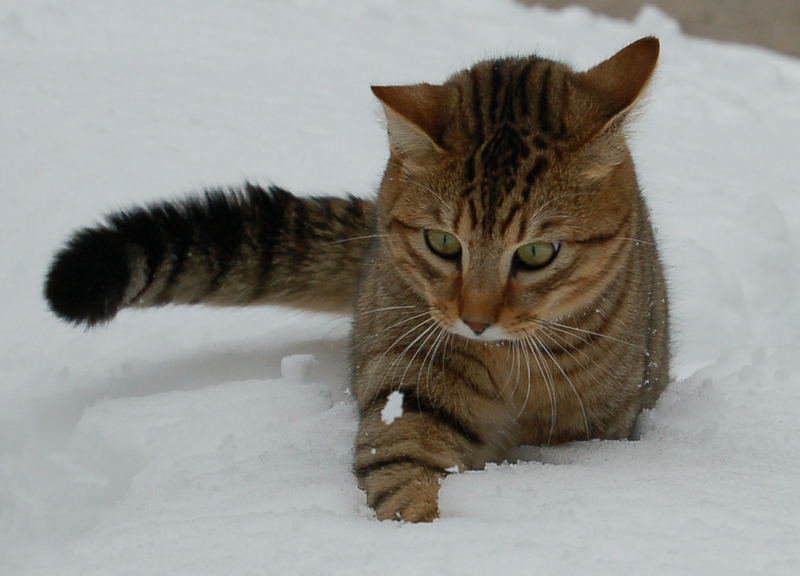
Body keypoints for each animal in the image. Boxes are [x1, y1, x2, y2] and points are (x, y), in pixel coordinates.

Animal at [43, 36, 668, 520]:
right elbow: (400, 467)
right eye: (443, 243)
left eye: (537, 252)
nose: (475, 321)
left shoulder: (597, 425)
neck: (510, 365)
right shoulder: (405, 383)